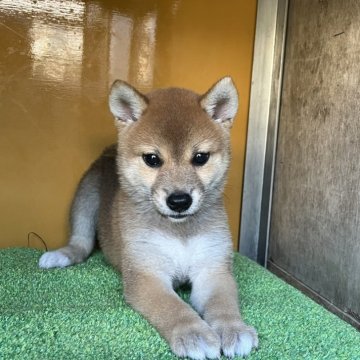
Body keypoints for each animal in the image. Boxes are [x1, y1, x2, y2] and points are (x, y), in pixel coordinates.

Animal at [38, 77, 258, 358]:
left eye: (200, 157)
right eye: (152, 159)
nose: (179, 201)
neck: (179, 231)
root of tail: (108, 151)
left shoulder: (213, 270)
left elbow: (223, 303)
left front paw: (233, 328)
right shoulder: (146, 276)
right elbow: (174, 309)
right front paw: (193, 334)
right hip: (86, 200)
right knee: (81, 243)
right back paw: (61, 255)